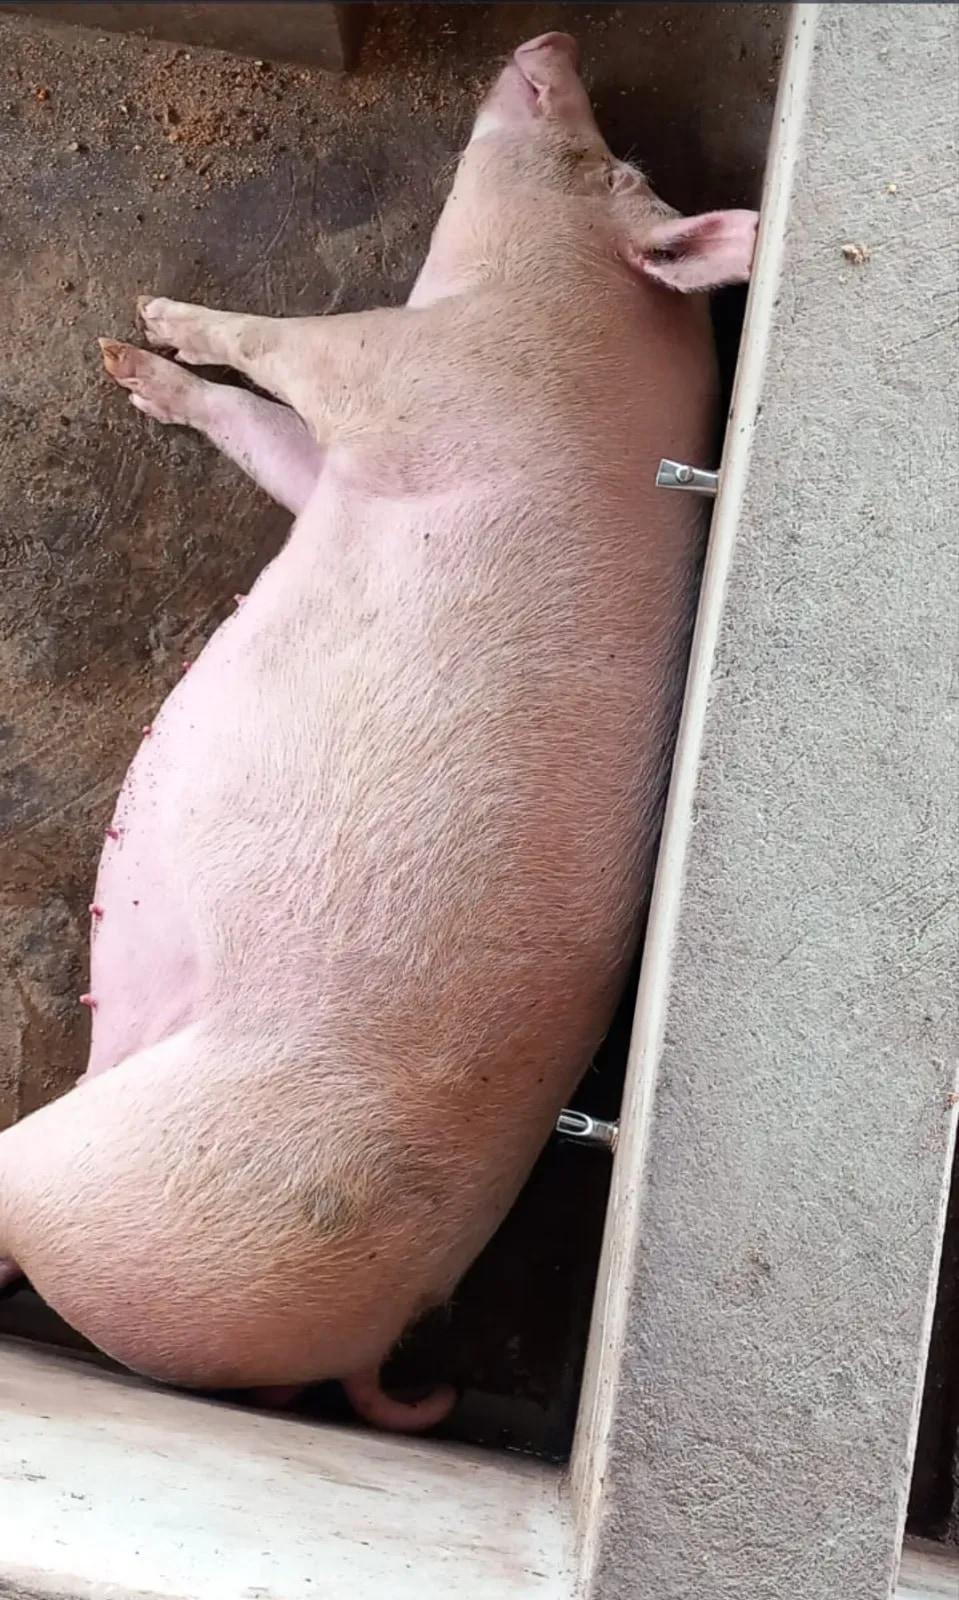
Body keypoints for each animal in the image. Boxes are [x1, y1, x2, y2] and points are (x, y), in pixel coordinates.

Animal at [0, 34, 757, 1429]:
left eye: (610, 172)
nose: (554, 41)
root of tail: (372, 1335)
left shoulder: (411, 375)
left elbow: (285, 352)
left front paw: (151, 318)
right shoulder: (335, 474)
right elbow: (261, 437)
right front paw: (126, 357)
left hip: (107, 1179)